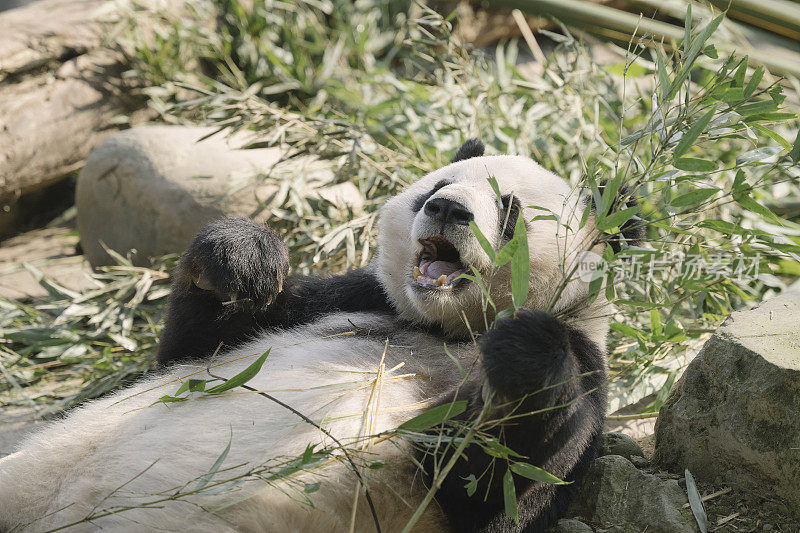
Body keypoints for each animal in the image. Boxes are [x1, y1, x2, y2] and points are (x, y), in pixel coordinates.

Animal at [0, 141, 636, 532]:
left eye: (509, 211)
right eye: (441, 183)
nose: (446, 208)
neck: (445, 327)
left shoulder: (584, 375)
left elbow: (496, 488)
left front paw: (523, 355)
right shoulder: (358, 298)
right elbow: (190, 351)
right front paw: (241, 257)